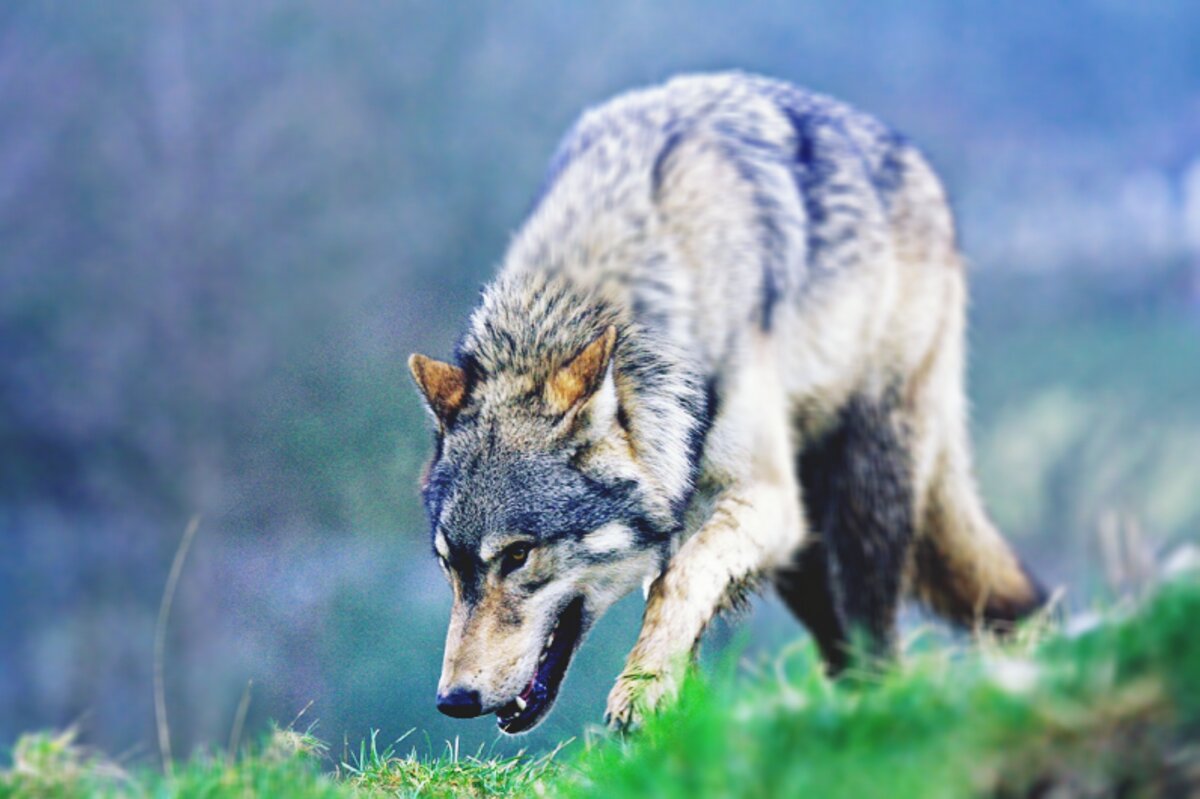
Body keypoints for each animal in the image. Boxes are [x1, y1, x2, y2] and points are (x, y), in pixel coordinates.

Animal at [408, 71, 1046, 729]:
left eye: (517, 555)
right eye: (448, 564)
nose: (455, 701)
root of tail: (914, 160)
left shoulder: (764, 498)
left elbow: (679, 580)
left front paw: (641, 691)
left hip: (866, 481)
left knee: (876, 624)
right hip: (807, 536)